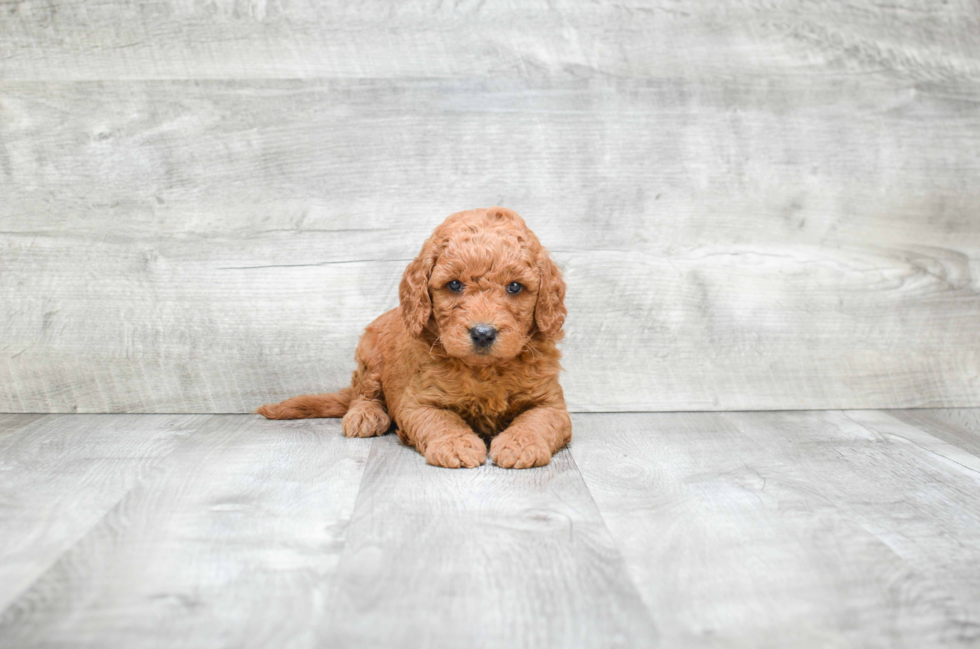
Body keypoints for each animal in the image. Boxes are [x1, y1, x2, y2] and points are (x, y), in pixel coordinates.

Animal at [256, 206, 572, 466]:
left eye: (515, 287)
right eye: (454, 285)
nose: (483, 333)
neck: (484, 371)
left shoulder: (551, 402)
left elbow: (537, 419)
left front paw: (520, 445)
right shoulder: (418, 400)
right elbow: (441, 419)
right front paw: (456, 445)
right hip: (370, 356)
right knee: (363, 393)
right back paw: (365, 415)